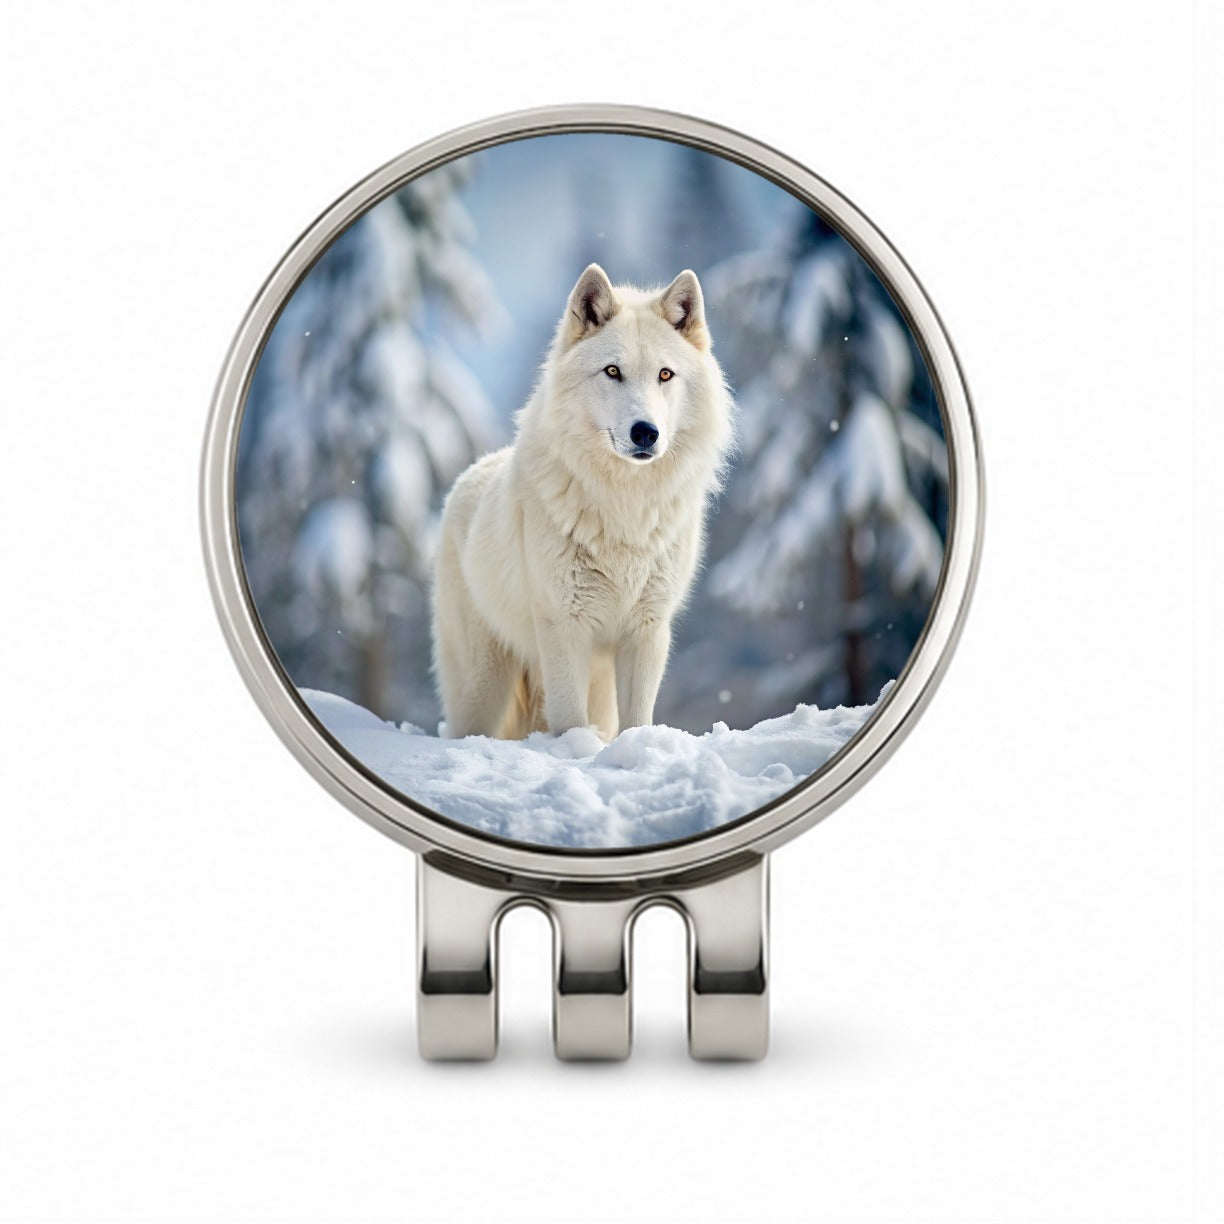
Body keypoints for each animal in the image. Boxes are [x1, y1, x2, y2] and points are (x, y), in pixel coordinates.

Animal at [432, 263, 734, 741]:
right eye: (612, 371)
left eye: (665, 375)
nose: (645, 432)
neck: (625, 508)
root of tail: (470, 474)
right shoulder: (564, 627)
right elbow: (570, 721)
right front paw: (575, 749)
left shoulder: (647, 631)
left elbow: (636, 721)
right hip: (483, 686)